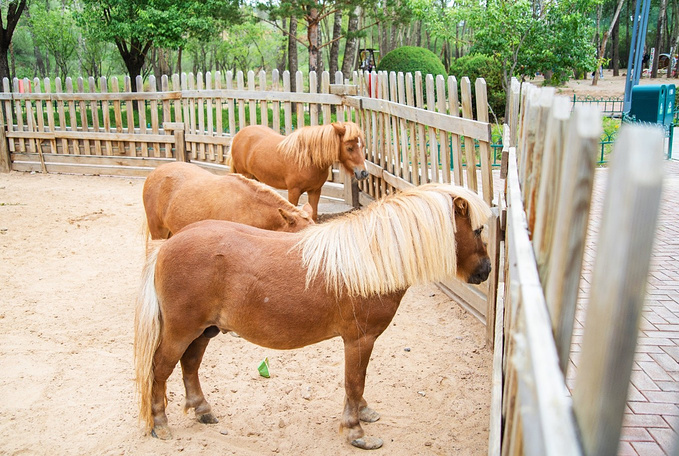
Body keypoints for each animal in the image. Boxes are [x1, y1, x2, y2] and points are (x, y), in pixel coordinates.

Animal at [134, 183, 494, 450]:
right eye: (477, 230)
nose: (486, 271)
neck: (369, 261)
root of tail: (166, 246)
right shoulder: (359, 339)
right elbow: (354, 381)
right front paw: (355, 432)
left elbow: (356, 384)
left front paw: (363, 413)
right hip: (181, 330)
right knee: (160, 369)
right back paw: (161, 424)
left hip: (204, 330)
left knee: (190, 365)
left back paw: (202, 410)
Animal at [228, 121, 370, 221]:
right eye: (349, 148)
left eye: (362, 146)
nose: (364, 173)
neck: (309, 159)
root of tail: (239, 135)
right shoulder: (293, 192)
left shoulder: (315, 191)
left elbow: (313, 215)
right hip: (244, 174)